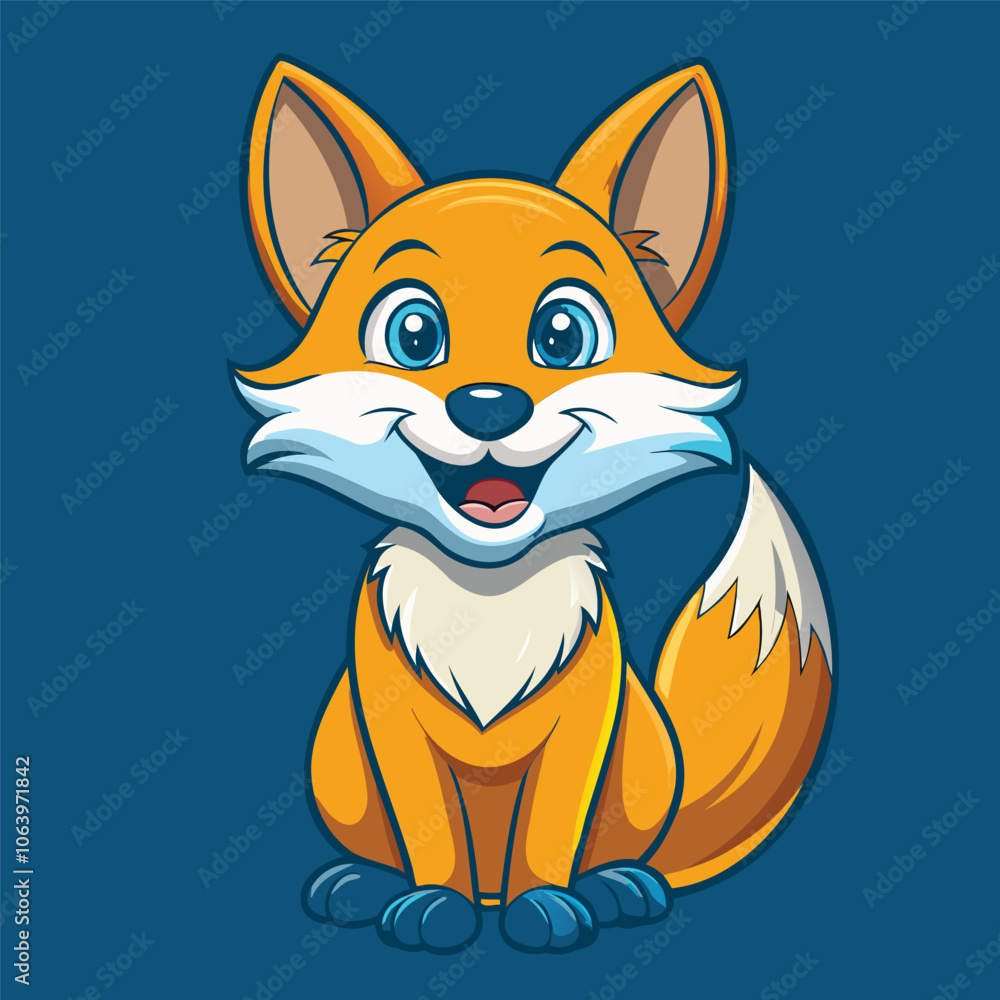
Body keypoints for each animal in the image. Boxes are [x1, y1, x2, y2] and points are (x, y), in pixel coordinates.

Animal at [231, 57, 835, 954]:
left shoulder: (590, 716)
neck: (487, 593)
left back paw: (612, 886)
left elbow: (552, 827)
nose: (488, 406)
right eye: (414, 335)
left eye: (562, 335)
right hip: (335, 760)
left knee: (611, 852)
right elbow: (430, 830)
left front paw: (547, 903)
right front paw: (433, 903)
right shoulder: (389, 724)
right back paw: (370, 885)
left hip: (645, 761)